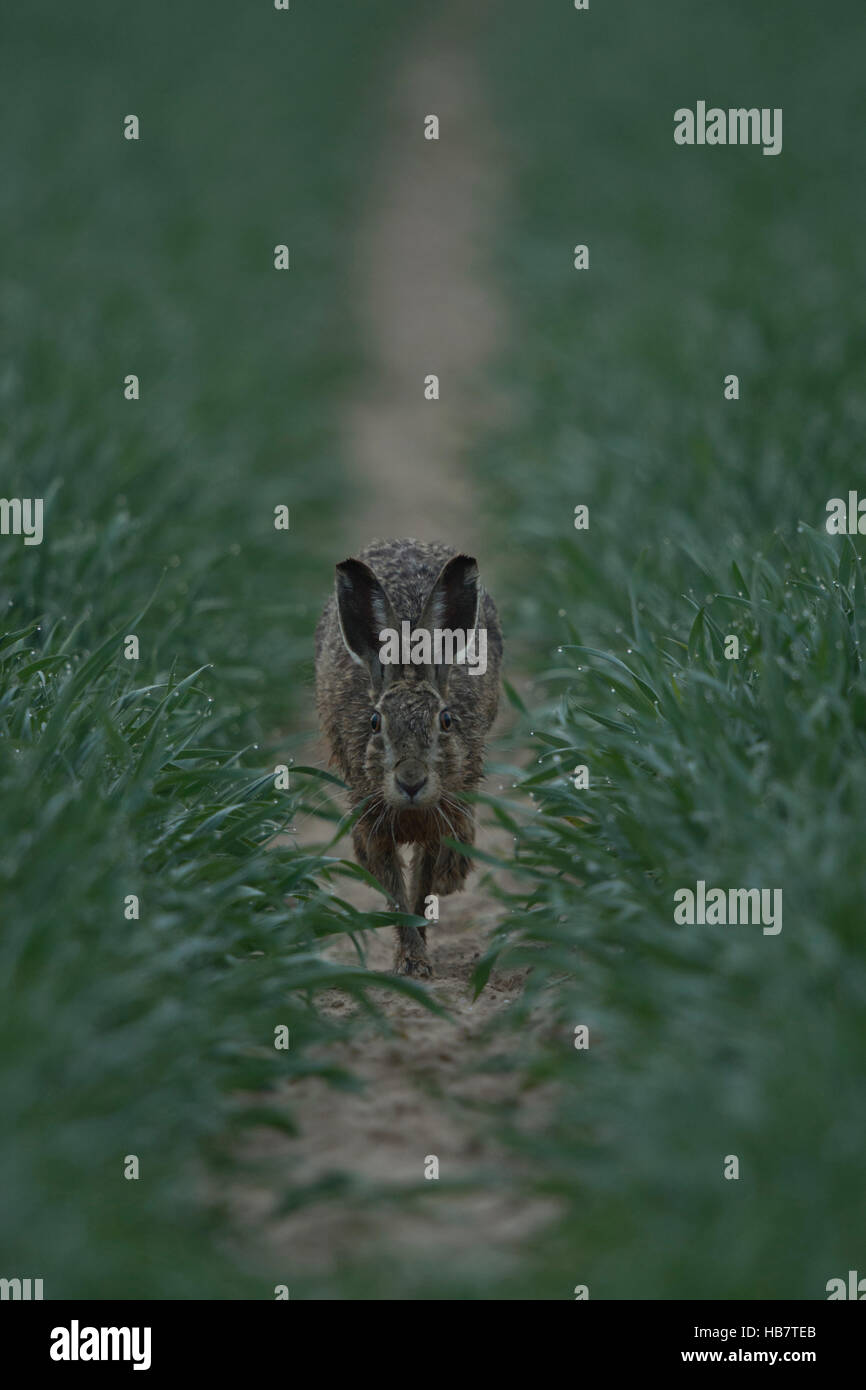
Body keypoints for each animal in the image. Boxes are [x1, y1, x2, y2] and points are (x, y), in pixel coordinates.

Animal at [315, 538, 502, 977]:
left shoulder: (439, 821)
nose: (411, 781)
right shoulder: (372, 824)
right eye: (374, 722)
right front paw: (412, 961)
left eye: (446, 720)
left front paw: (418, 958)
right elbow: (397, 896)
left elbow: (421, 889)